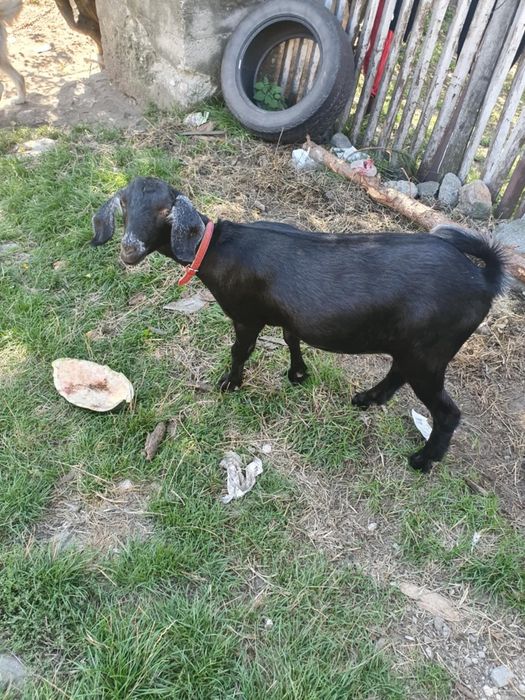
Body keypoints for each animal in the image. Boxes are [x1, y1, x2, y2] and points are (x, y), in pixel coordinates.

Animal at [92, 176, 507, 473]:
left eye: (166, 211)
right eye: (125, 204)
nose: (128, 250)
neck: (217, 248)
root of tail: (483, 279)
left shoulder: (246, 316)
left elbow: (241, 350)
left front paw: (229, 384)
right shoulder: (284, 313)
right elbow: (291, 336)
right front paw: (298, 374)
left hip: (431, 350)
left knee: (447, 412)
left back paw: (422, 460)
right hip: (413, 346)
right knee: (397, 372)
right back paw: (367, 399)